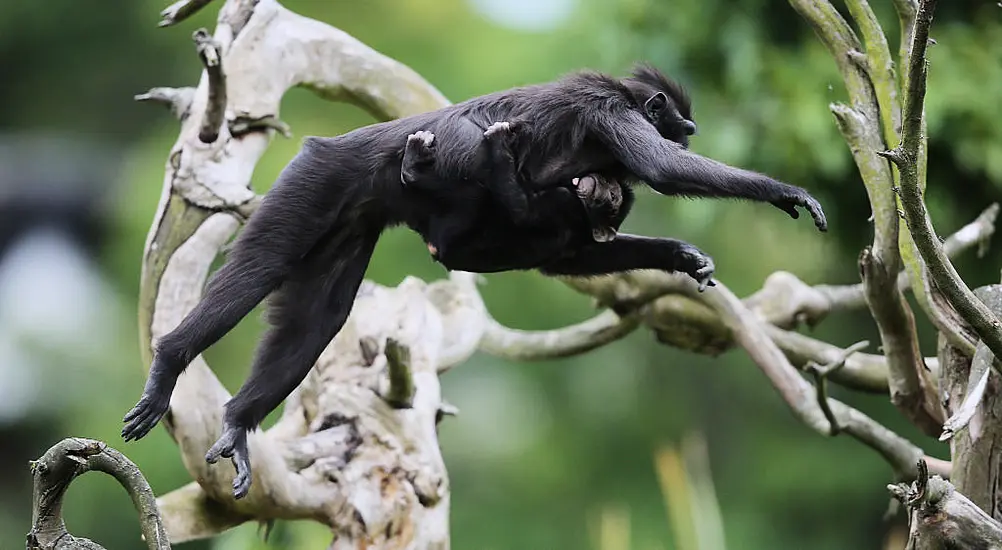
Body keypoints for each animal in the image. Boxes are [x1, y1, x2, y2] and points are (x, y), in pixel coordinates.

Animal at [121, 61, 825, 496]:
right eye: (678, 124)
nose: (689, 132)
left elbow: (566, 254)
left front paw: (679, 255)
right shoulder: (606, 112)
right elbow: (661, 171)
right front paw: (785, 194)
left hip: (350, 218)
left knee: (316, 321)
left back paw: (239, 422)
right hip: (316, 179)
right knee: (261, 268)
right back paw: (170, 360)